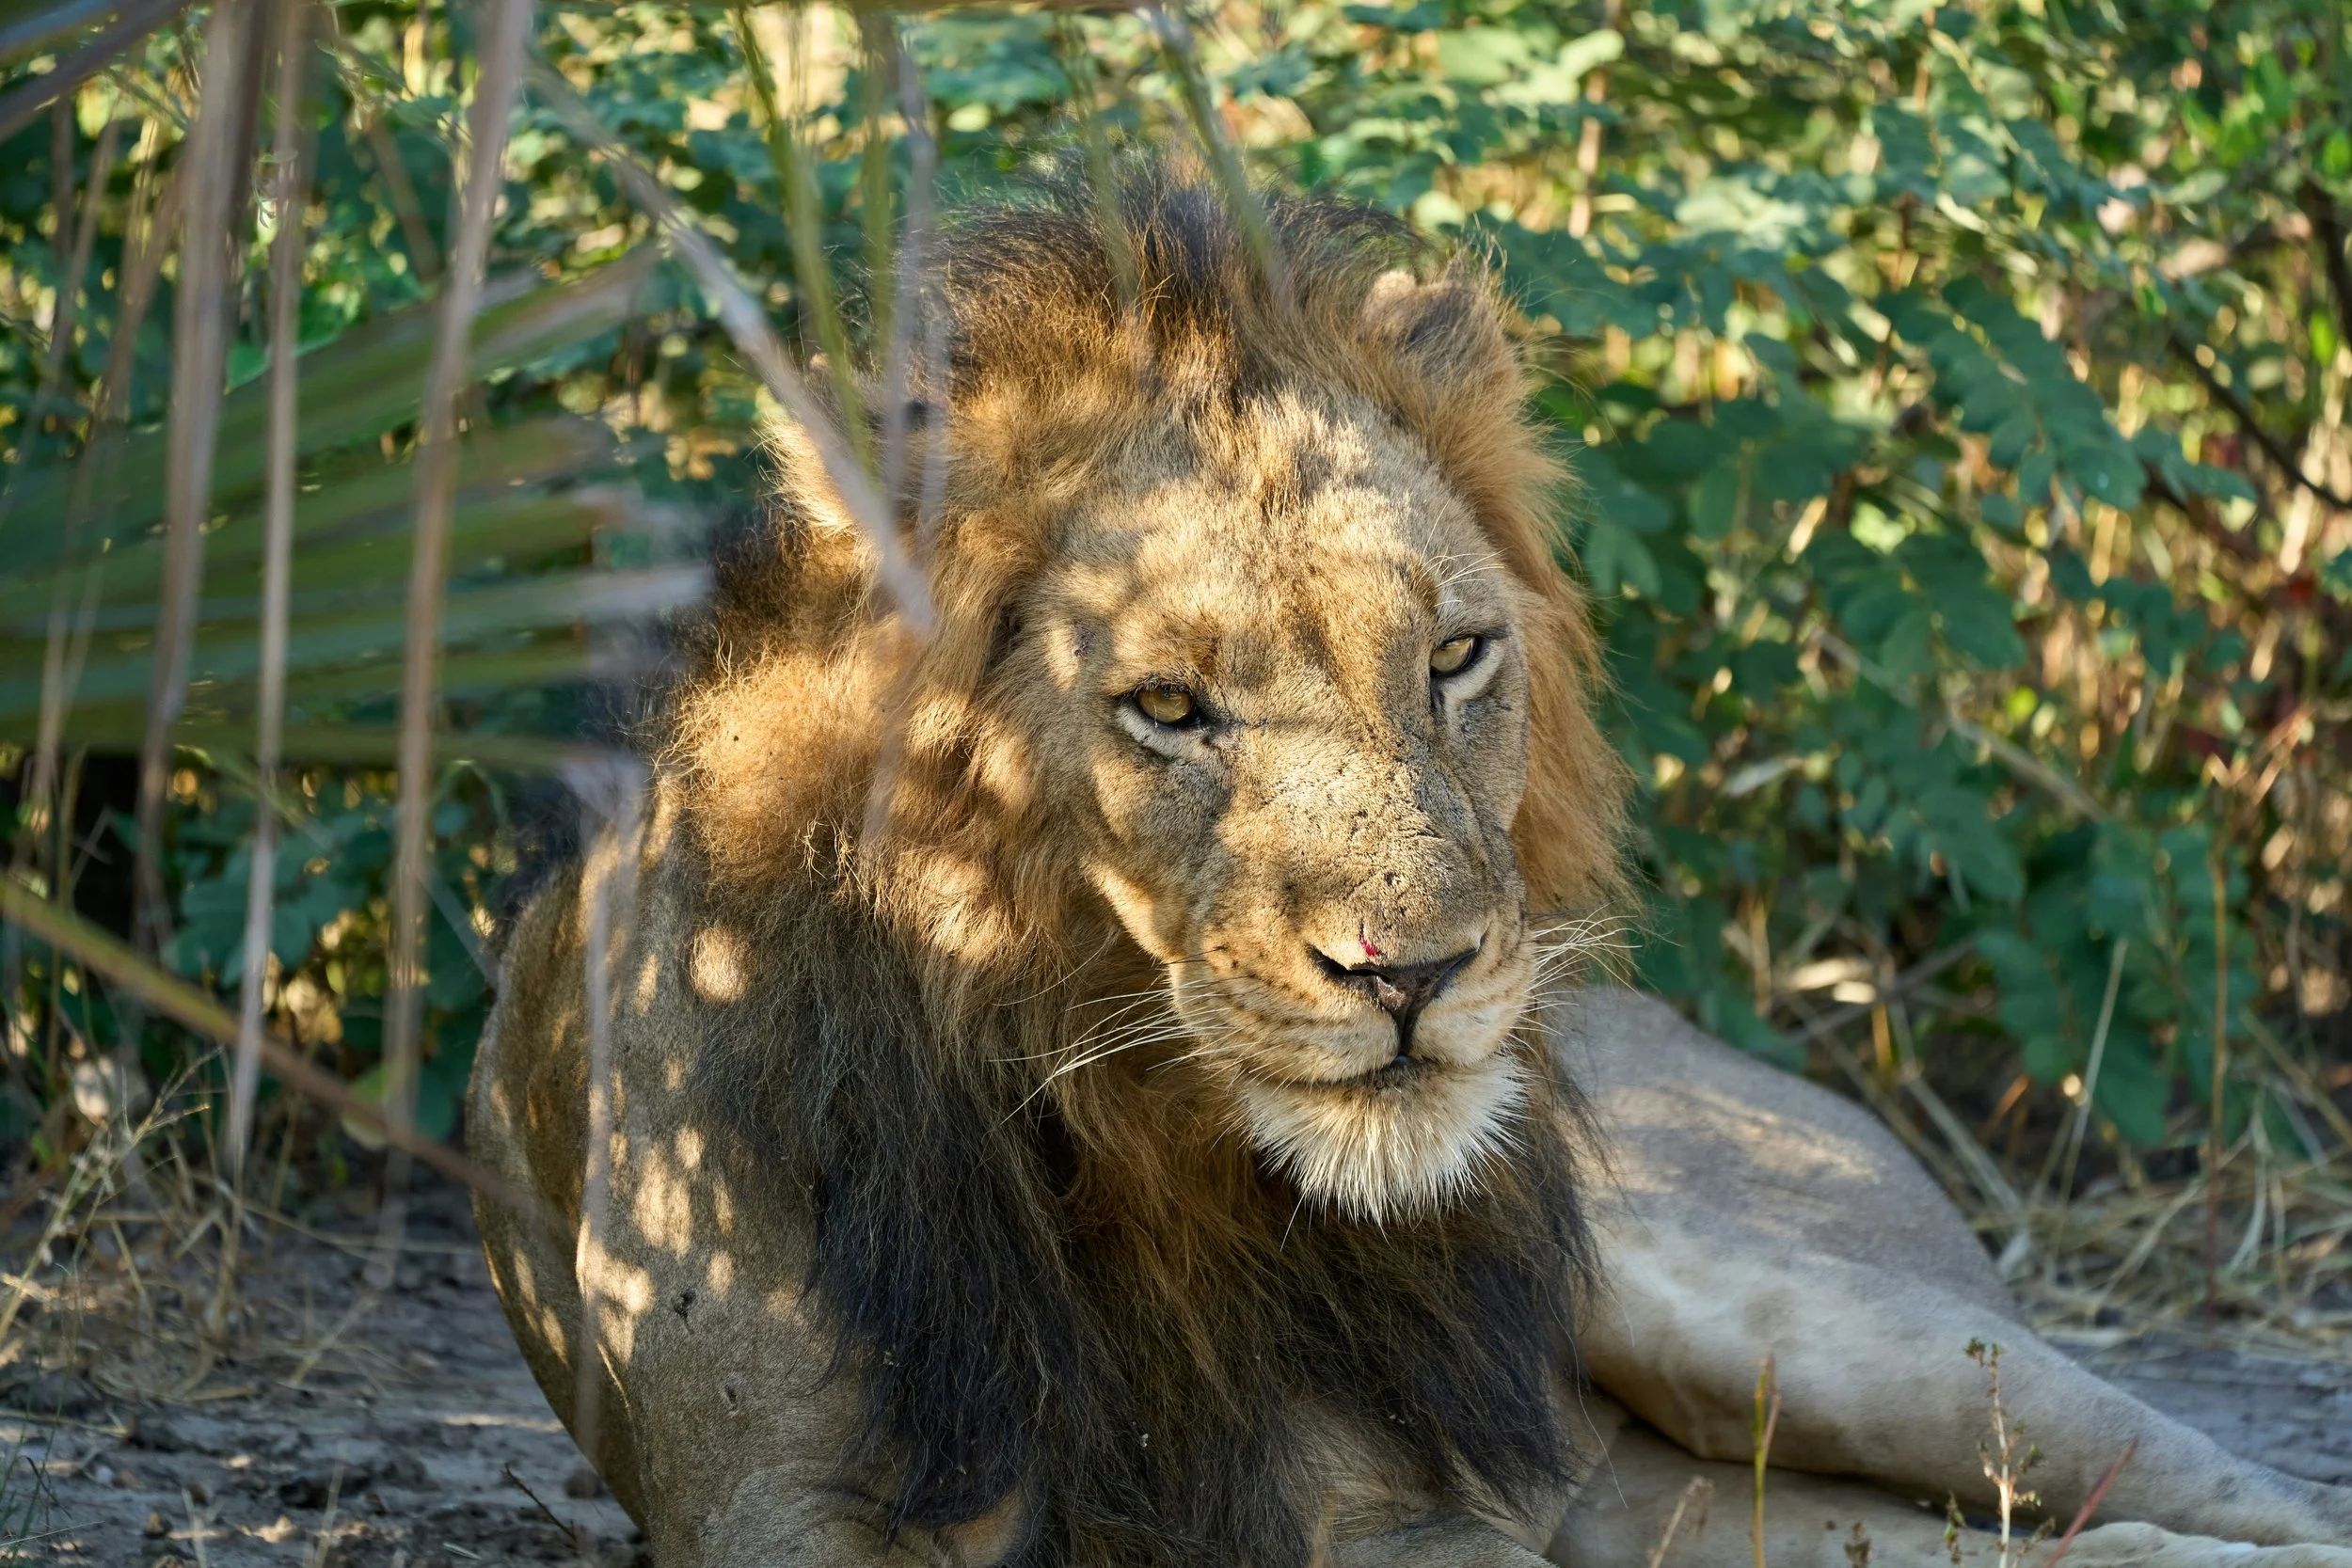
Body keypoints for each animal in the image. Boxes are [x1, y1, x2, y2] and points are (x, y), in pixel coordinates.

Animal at [468, 170, 2352, 1567]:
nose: (1419, 975)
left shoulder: (1395, 1509)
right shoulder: (793, 1501)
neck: (1105, 1106)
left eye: (1453, 657)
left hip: (1824, 1324)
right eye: (1167, 706)